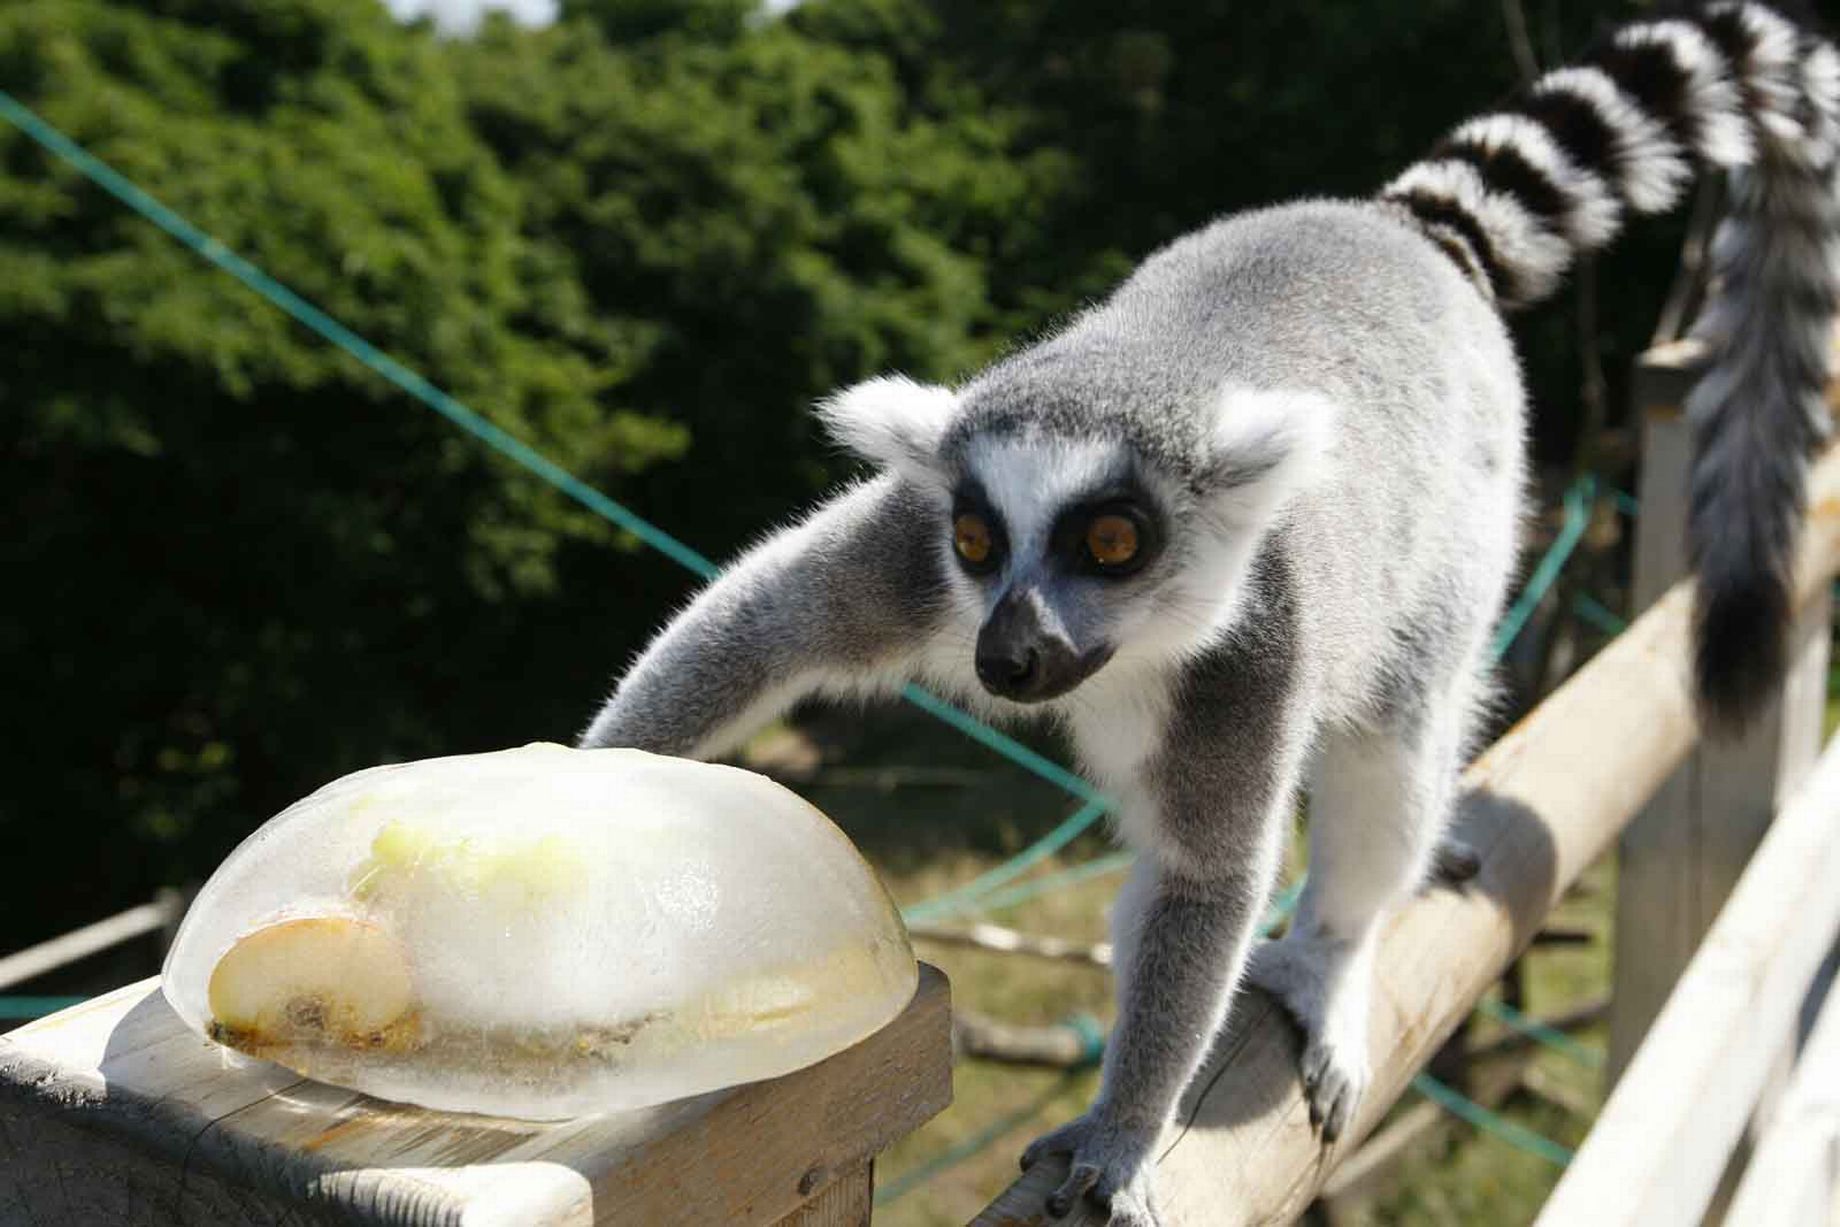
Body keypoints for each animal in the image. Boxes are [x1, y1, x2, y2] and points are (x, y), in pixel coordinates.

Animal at [579, 5, 1838, 1221]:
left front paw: (1123, 1131)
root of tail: (1390, 227)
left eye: (1112, 541)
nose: (1008, 656)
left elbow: (1208, 883)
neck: (1130, 652)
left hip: (1466, 523)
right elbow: (759, 625)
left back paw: (1327, 959)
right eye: (978, 542)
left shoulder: (1256, 644)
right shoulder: (911, 552)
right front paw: (577, 783)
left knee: (1391, 745)